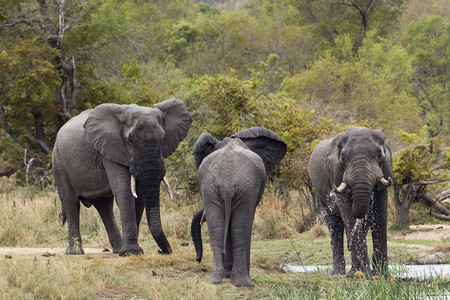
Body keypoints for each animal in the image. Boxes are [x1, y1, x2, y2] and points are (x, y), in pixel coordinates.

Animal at [52, 99, 192, 256]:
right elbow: (125, 191)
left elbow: (139, 197)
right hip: (59, 162)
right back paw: (75, 252)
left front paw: (133, 252)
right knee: (70, 202)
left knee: (104, 207)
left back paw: (118, 250)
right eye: (129, 141)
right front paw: (132, 252)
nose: (161, 251)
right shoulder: (110, 149)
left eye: (163, 139)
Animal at [189, 127, 284, 288]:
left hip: (212, 188)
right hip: (244, 188)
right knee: (240, 227)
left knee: (217, 228)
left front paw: (227, 275)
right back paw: (244, 282)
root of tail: (227, 179)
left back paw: (216, 280)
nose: (198, 259)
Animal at [308, 126, 392, 276]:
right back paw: (337, 273)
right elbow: (347, 211)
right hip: (319, 194)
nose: (349, 246)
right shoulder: (336, 174)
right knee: (334, 225)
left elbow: (380, 213)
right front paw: (360, 275)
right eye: (343, 158)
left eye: (379, 154)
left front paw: (381, 275)